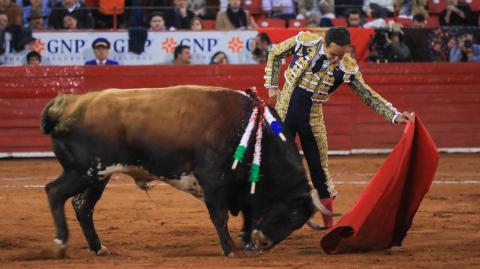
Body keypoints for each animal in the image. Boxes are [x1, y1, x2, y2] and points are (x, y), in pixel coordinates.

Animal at [41, 85, 332, 256]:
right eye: (293, 212)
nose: (265, 242)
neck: (252, 132)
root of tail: (68, 106)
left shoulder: (241, 185)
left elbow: (247, 212)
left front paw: (246, 240)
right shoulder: (213, 179)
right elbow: (219, 214)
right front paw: (230, 249)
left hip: (98, 175)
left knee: (82, 206)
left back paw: (98, 247)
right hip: (83, 171)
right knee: (54, 192)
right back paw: (60, 243)